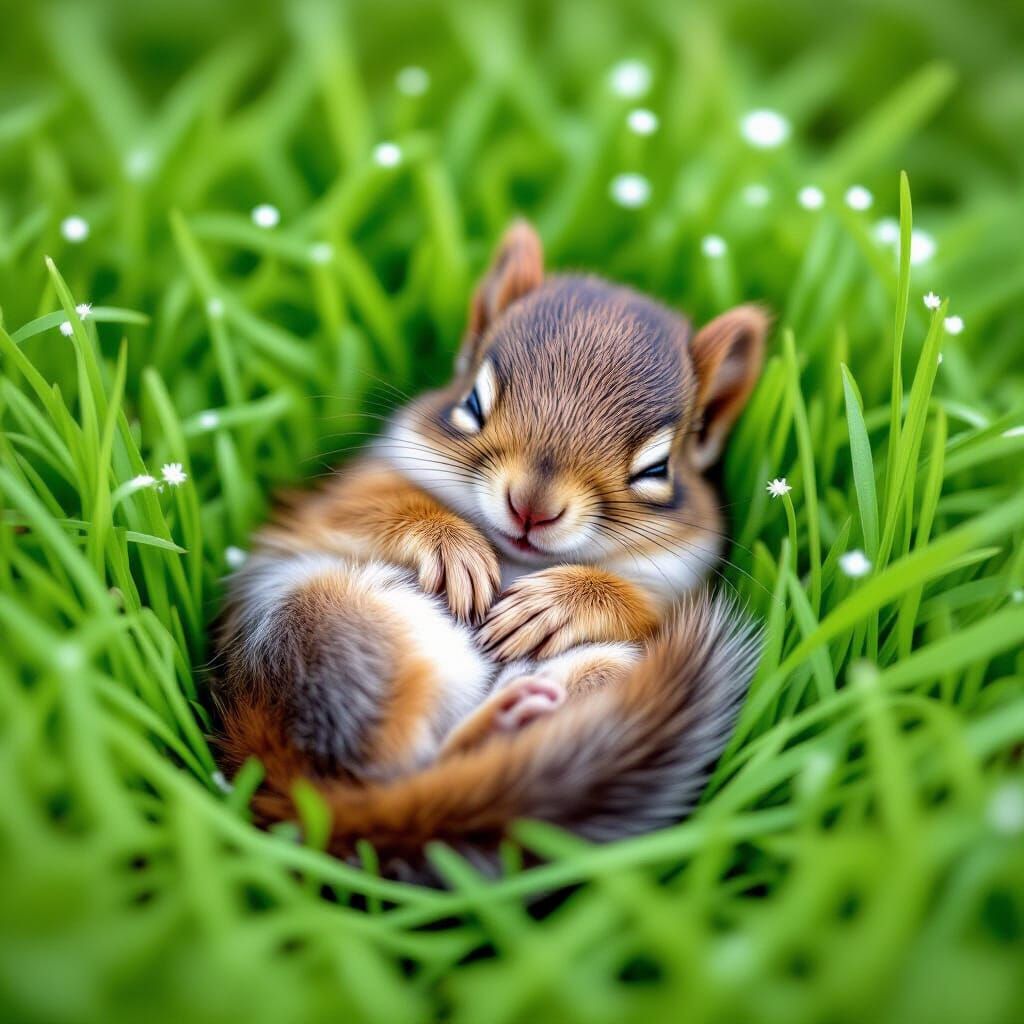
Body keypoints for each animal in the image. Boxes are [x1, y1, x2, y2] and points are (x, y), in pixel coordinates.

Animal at [212, 220, 767, 880]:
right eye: (472, 404)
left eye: (657, 469)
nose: (531, 507)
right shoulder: (346, 491)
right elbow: (372, 506)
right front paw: (453, 545)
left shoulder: (682, 576)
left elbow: (643, 601)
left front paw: (557, 604)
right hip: (337, 632)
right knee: (392, 767)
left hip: (608, 665)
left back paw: (521, 711)